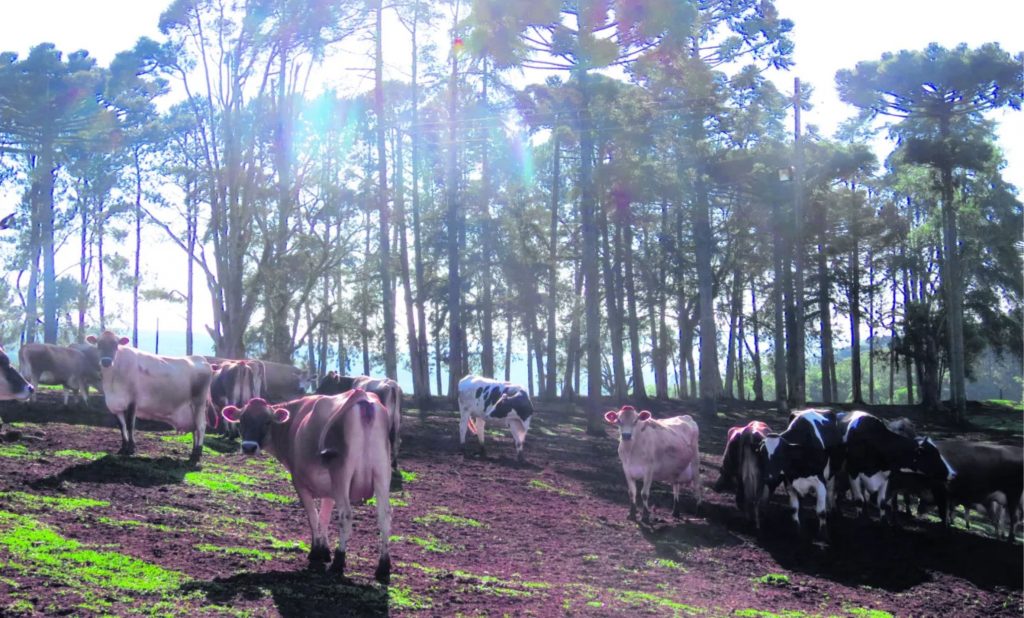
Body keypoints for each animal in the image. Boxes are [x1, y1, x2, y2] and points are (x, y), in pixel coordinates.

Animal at [89, 331, 212, 460]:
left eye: (115, 345)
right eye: (99, 344)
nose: (106, 361)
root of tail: (201, 359)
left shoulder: (133, 402)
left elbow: (130, 425)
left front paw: (131, 449)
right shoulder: (115, 406)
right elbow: (122, 427)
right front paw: (123, 448)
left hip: (199, 402)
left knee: (201, 426)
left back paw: (197, 453)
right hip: (191, 408)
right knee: (195, 428)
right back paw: (193, 451)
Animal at [222, 390, 393, 585]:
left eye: (267, 421)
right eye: (242, 420)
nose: (249, 447)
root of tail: (362, 395)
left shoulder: (300, 482)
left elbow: (313, 516)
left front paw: (316, 552)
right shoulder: (330, 488)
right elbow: (324, 517)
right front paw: (324, 551)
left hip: (342, 472)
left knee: (346, 515)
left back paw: (338, 563)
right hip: (382, 472)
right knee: (385, 517)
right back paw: (383, 568)